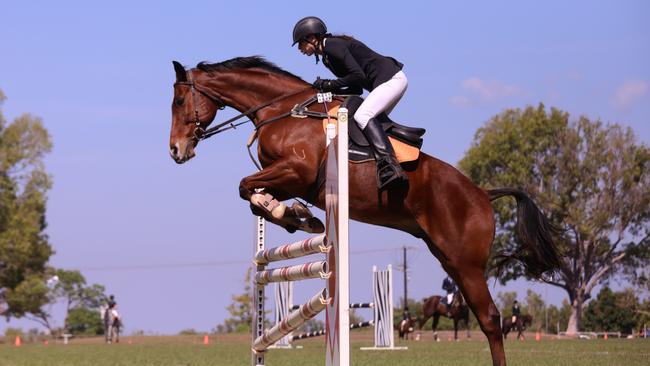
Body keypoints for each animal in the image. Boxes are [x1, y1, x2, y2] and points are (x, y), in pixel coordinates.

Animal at [166, 55, 556, 366]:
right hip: (449, 259)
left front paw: (294, 216)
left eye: (180, 100)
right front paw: (296, 217)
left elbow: (246, 186)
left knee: (490, 318)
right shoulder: (287, 180)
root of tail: (482, 194)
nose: (175, 150)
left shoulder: (297, 171)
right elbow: (252, 193)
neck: (281, 111)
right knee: (484, 316)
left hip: (467, 263)